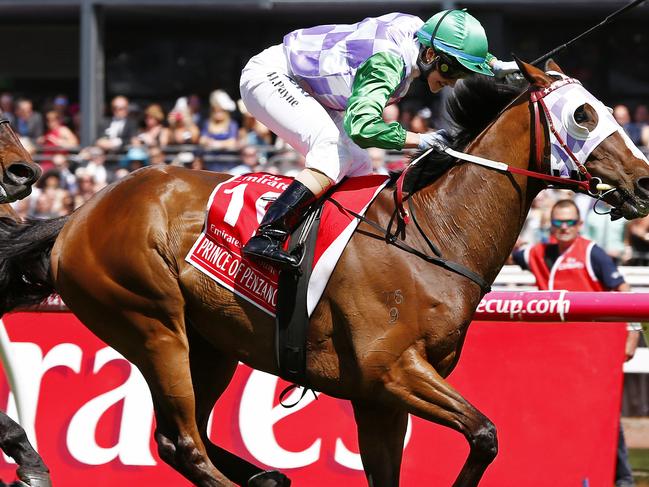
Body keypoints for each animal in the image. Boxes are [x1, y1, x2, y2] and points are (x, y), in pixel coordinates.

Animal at [1, 62, 648, 487]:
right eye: (583, 114)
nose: (643, 181)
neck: (432, 231)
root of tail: (80, 213)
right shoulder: (392, 372)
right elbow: (486, 433)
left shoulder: (380, 398)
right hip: (154, 325)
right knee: (182, 442)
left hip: (208, 345)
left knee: (183, 436)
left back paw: (268, 477)